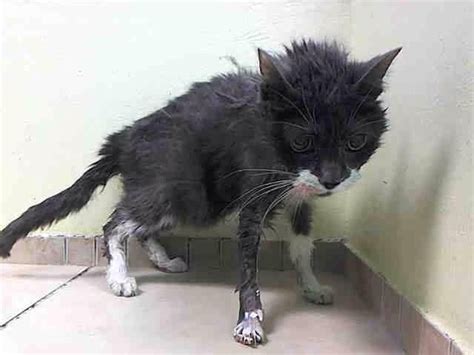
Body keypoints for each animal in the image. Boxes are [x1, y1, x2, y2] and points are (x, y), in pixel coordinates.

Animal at [0, 39, 400, 348]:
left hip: (186, 198)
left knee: (139, 228)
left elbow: (302, 246)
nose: (332, 180)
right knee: (116, 224)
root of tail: (123, 138)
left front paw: (312, 287)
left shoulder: (300, 199)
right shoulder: (253, 199)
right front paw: (249, 321)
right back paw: (120, 278)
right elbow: (248, 264)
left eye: (355, 141)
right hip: (180, 190)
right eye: (301, 141)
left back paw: (164, 261)